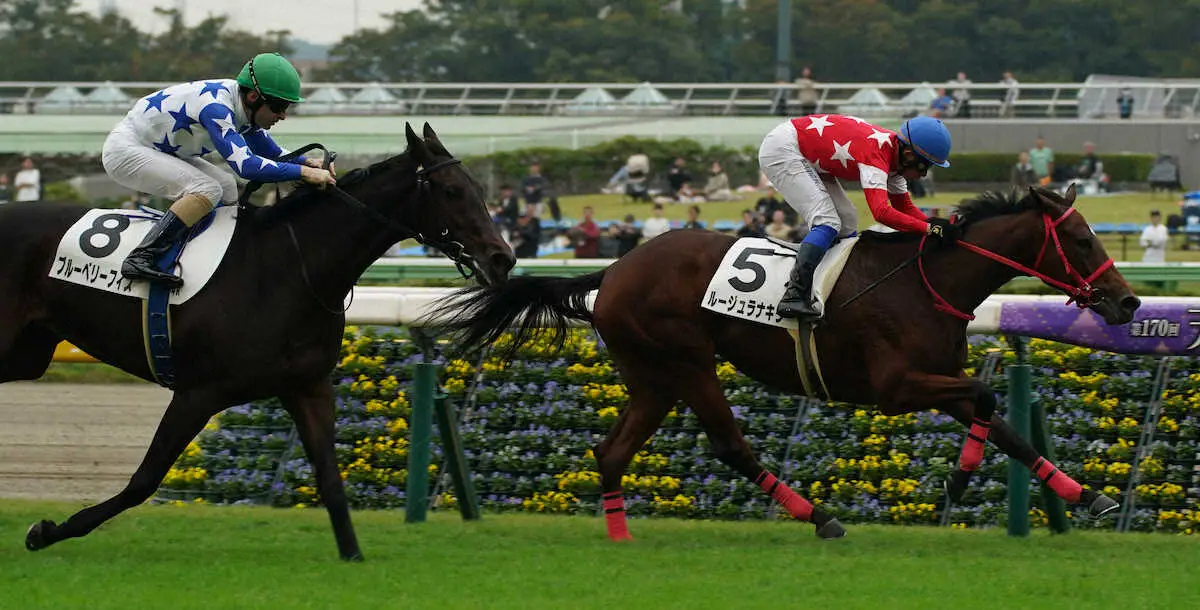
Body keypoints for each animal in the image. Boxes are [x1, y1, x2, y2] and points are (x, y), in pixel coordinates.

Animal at [2, 122, 513, 557]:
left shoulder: (308, 386)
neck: (289, 269)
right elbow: (144, 480)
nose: (502, 257)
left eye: (480, 189)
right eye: (452, 191)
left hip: (28, 353)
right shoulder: (199, 392)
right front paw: (47, 531)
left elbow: (331, 479)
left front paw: (354, 557)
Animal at [444, 184, 1142, 537]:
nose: (1128, 301)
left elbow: (999, 421)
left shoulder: (933, 377)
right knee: (729, 445)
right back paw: (821, 518)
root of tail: (613, 269)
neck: (927, 280)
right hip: (689, 362)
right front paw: (962, 479)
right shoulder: (897, 386)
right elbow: (988, 398)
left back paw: (621, 537)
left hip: (653, 376)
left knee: (611, 451)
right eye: (1081, 239)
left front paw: (1088, 497)